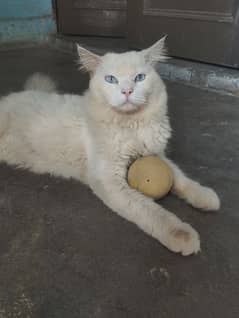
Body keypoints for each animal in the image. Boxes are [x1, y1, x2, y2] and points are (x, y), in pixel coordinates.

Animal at [0, 37, 219, 256]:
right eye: (111, 79)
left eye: (139, 77)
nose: (127, 91)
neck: (131, 125)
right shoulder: (109, 179)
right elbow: (151, 210)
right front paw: (183, 235)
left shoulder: (157, 154)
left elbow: (181, 179)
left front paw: (206, 197)